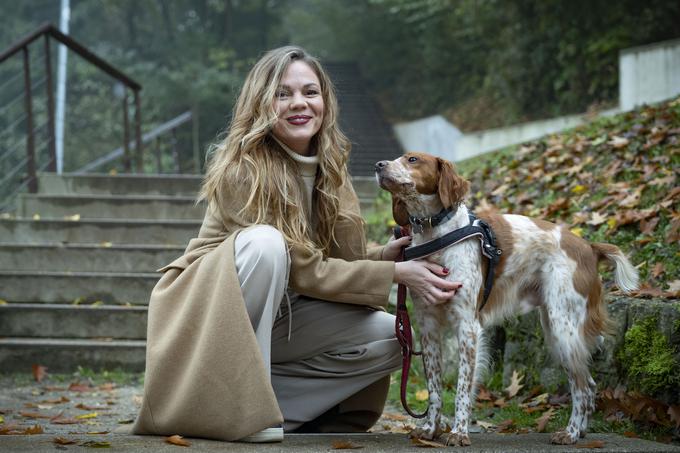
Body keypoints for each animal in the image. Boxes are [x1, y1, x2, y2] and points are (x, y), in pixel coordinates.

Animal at [374, 152, 640, 444]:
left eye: (412, 159)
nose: (378, 165)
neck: (437, 235)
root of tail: (589, 247)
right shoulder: (429, 327)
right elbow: (434, 387)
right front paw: (430, 429)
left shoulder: (467, 326)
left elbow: (462, 388)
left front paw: (459, 432)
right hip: (556, 330)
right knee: (588, 385)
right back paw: (579, 431)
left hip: (564, 327)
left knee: (582, 387)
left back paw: (570, 433)